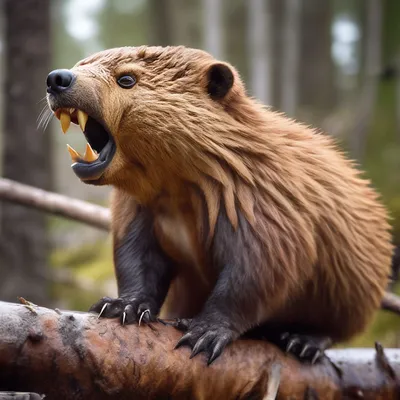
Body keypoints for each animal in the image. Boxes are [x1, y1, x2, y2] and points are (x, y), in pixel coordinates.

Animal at [45, 45, 392, 364]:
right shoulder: (137, 207)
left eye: (126, 79)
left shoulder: (265, 202)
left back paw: (303, 341)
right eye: (82, 62)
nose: (57, 78)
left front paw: (205, 333)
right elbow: (136, 257)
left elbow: (258, 272)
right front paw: (122, 306)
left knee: (337, 326)